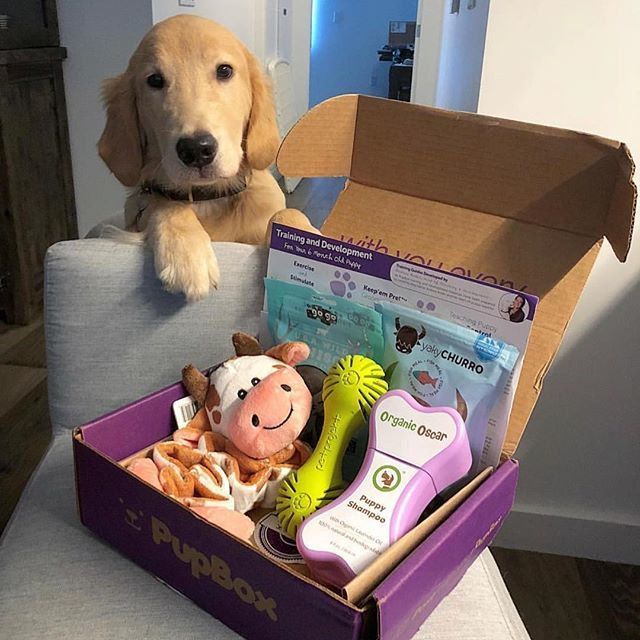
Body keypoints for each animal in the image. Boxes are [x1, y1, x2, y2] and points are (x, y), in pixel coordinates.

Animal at [97, 16, 316, 302]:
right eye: (154, 80)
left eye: (224, 71)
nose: (197, 150)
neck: (210, 198)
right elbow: (167, 204)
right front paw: (186, 255)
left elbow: (288, 212)